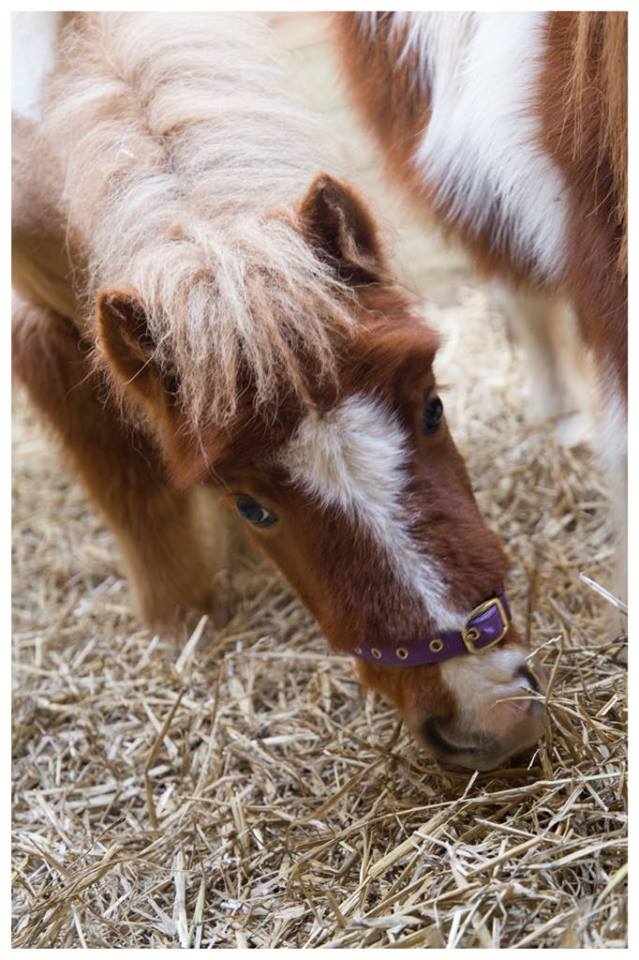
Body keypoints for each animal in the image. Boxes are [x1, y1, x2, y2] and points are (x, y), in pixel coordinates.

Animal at [12, 11, 544, 772]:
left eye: (433, 409)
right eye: (252, 506)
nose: (490, 715)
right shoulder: (48, 334)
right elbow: (135, 497)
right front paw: (181, 622)